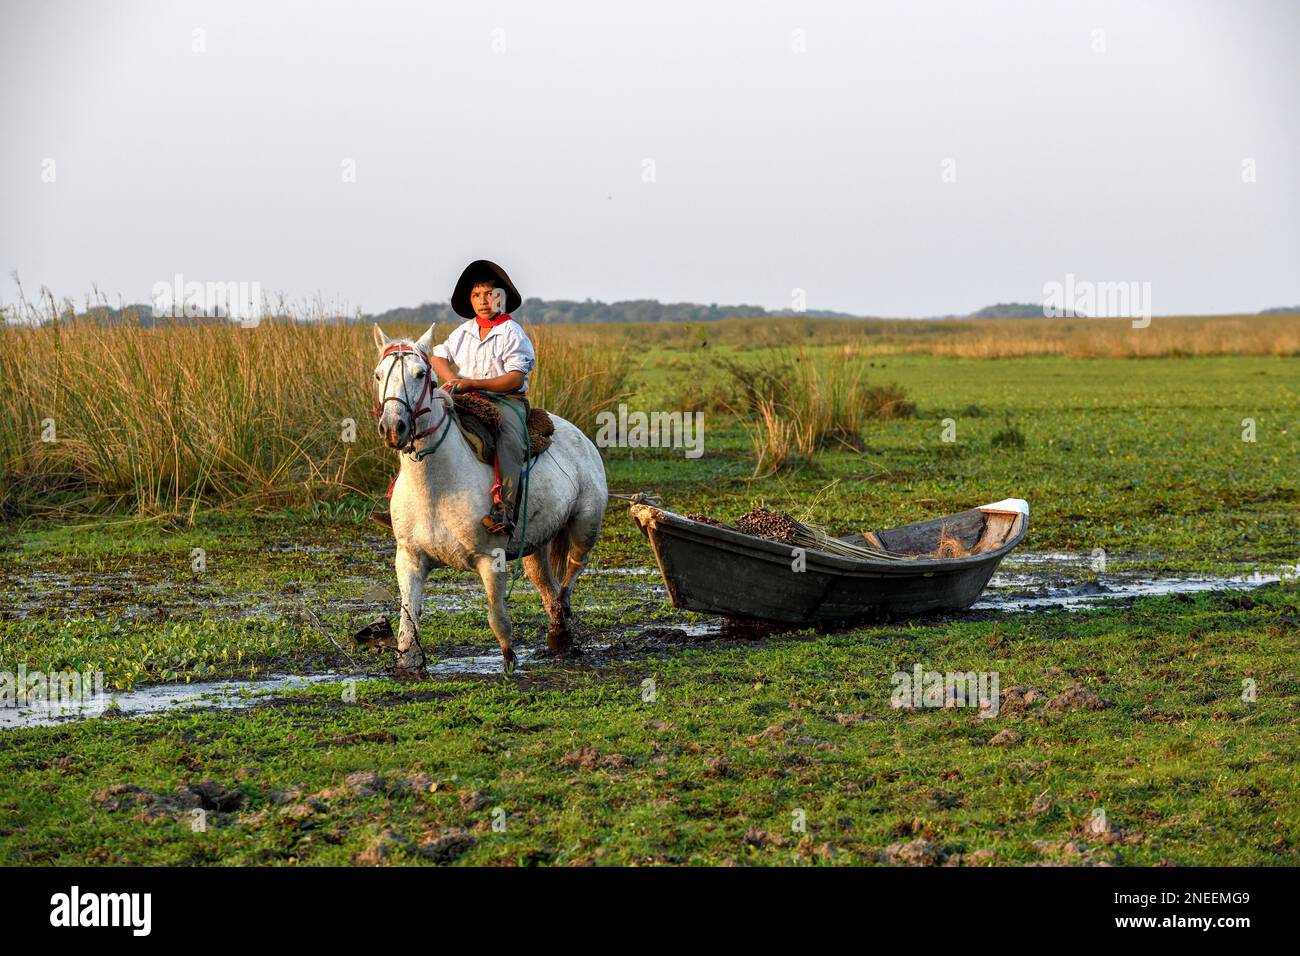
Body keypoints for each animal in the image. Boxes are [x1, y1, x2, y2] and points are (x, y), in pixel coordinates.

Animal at [369, 325, 605, 676]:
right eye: (378, 374)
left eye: (421, 374)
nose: (393, 428)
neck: (436, 486)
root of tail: (579, 435)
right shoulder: (409, 558)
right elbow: (408, 621)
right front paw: (408, 665)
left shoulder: (491, 558)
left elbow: (498, 617)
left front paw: (508, 663)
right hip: (535, 545)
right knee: (546, 586)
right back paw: (558, 637)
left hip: (585, 526)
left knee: (573, 569)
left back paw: (563, 615)